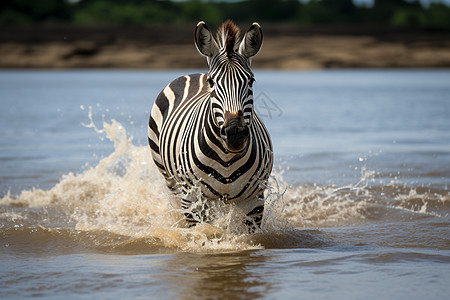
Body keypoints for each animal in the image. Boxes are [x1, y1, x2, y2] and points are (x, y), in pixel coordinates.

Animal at [149, 20, 272, 232]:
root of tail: (193, 74)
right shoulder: (191, 198)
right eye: (212, 81)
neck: (226, 158)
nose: (235, 133)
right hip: (170, 180)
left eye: (251, 80)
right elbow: (199, 233)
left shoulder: (255, 200)